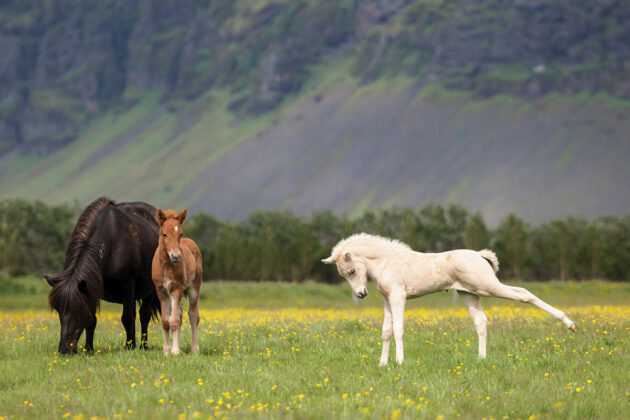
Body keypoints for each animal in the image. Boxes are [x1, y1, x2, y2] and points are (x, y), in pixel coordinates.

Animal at [46, 197, 160, 354]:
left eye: (78, 309)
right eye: (58, 310)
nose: (64, 349)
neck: (111, 242)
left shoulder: (128, 284)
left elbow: (127, 318)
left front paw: (128, 347)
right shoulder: (91, 287)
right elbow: (92, 321)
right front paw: (89, 348)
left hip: (149, 290)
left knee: (144, 315)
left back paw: (143, 345)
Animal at [151, 209, 202, 354]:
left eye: (180, 234)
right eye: (164, 234)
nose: (176, 256)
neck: (166, 266)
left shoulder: (176, 289)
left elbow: (173, 321)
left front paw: (174, 351)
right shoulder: (161, 291)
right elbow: (165, 321)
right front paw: (167, 350)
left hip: (194, 288)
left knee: (193, 315)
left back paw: (194, 349)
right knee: (180, 314)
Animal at [326, 233, 576, 364]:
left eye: (351, 270)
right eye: (343, 274)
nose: (361, 294)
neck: (386, 261)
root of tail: (480, 256)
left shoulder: (398, 296)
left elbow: (398, 328)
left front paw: (399, 361)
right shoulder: (387, 299)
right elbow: (386, 331)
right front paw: (382, 363)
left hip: (487, 286)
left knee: (523, 293)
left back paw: (569, 323)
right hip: (469, 293)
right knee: (481, 322)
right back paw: (481, 358)